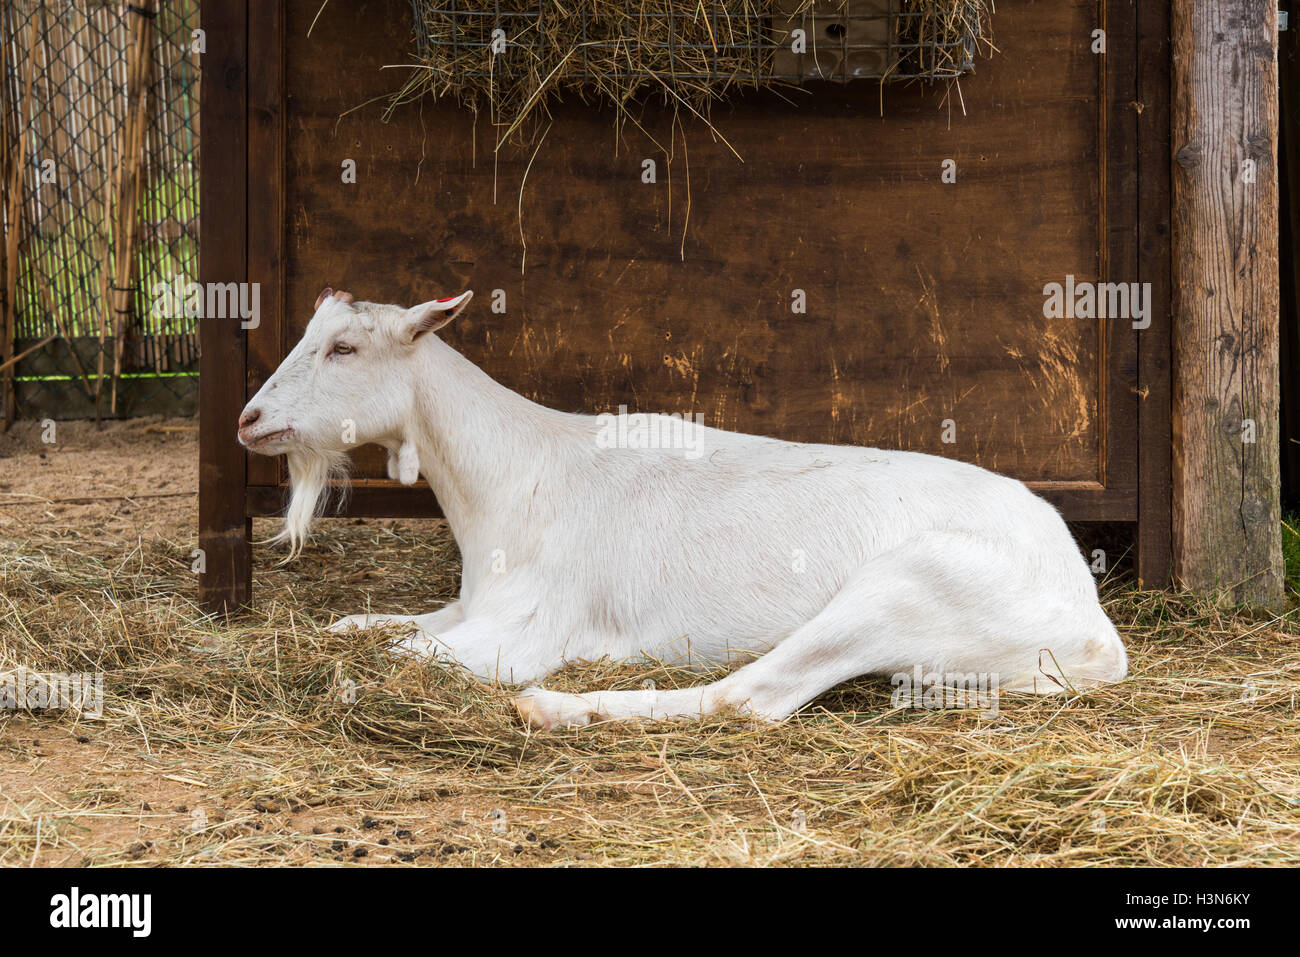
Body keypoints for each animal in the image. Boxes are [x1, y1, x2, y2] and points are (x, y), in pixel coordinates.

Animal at [237, 288, 1127, 730]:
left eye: (344, 347)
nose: (249, 418)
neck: (515, 475)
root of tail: (1094, 631)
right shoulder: (474, 602)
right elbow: (370, 627)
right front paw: (343, 627)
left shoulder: (526, 629)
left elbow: (401, 656)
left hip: (910, 586)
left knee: (751, 696)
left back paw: (556, 706)